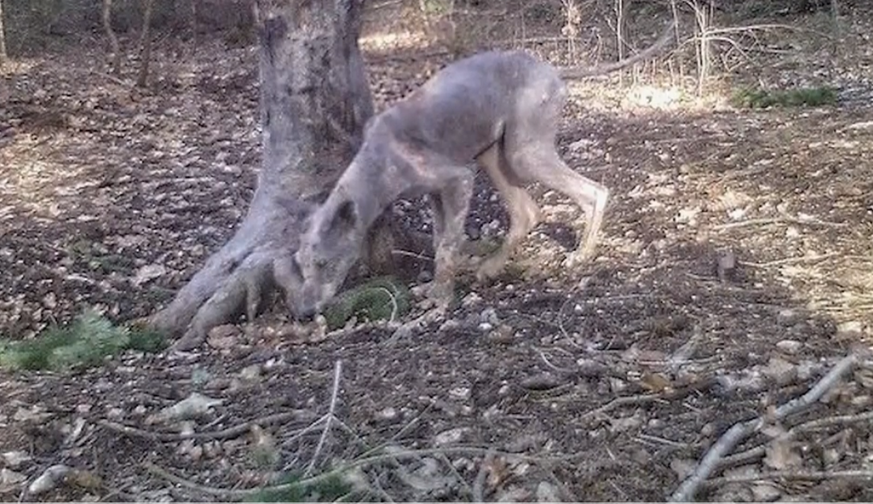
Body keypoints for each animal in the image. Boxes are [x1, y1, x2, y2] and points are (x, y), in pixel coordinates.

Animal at [292, 23, 676, 318]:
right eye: (301, 265)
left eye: (324, 263)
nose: (303, 312)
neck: (378, 162)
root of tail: (552, 70)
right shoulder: (435, 192)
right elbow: (438, 241)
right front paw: (436, 288)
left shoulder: (458, 179)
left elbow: (448, 246)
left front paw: (441, 300)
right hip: (494, 154)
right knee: (526, 213)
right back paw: (491, 267)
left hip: (523, 153)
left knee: (594, 192)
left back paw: (581, 253)